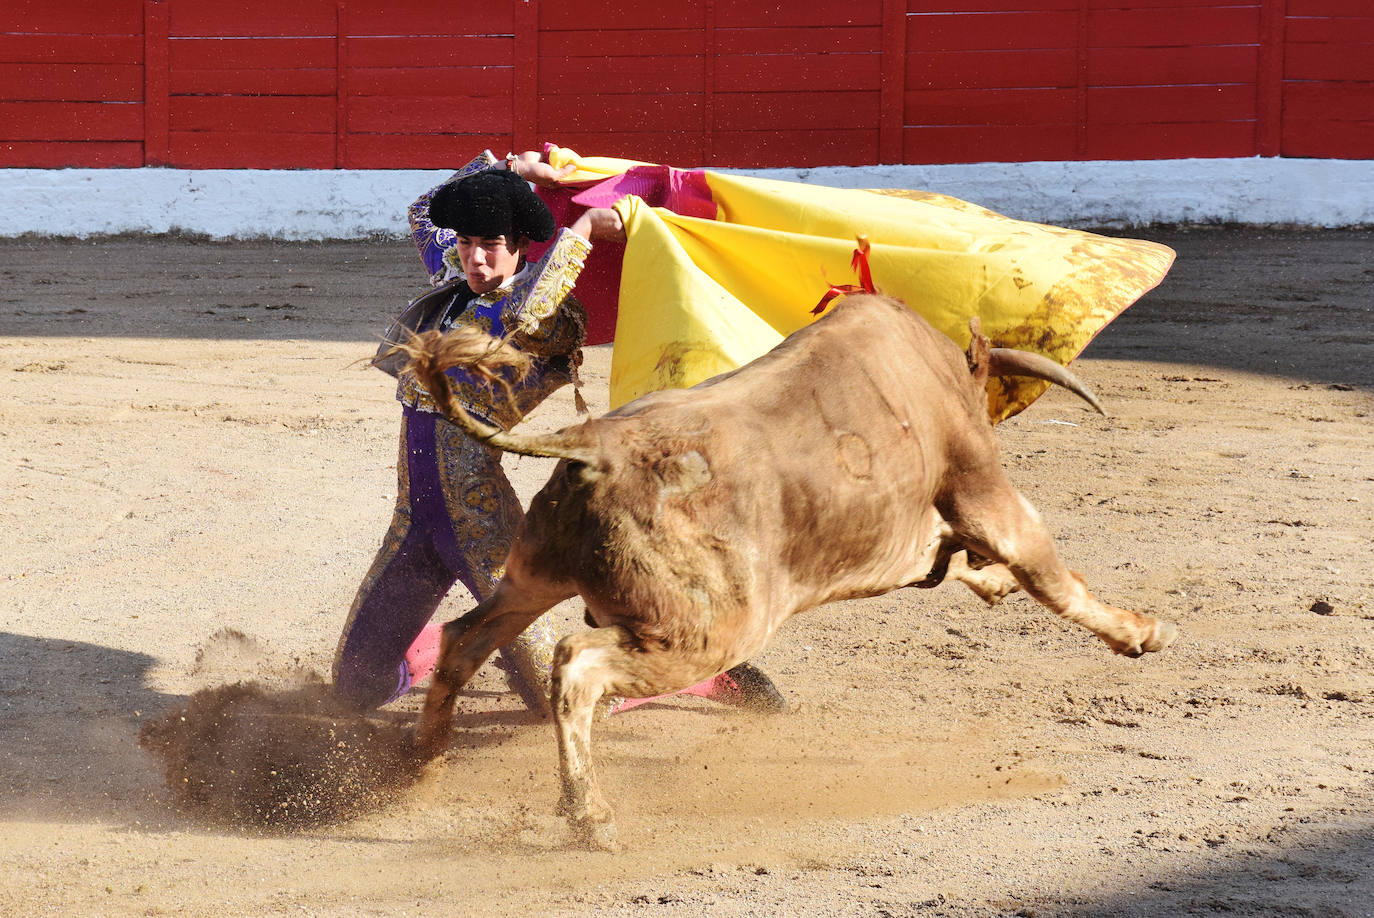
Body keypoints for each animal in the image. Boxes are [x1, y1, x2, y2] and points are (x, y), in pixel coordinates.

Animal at [406, 298, 1181, 852]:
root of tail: (593, 446)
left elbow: (966, 564)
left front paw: (995, 585)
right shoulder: (988, 495)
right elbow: (1051, 576)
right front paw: (1143, 633)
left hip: (533, 578)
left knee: (463, 640)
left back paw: (421, 773)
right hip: (706, 633)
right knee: (573, 665)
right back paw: (589, 819)